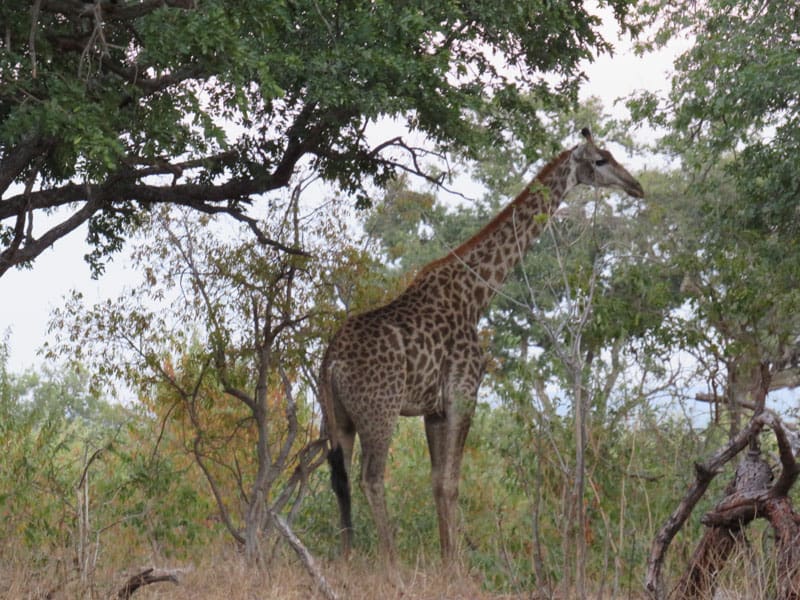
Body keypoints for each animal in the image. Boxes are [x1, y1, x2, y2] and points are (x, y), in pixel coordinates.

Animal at [318, 129, 644, 564]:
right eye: (601, 160)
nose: (636, 186)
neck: (477, 293)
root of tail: (330, 364)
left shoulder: (435, 409)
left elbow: (437, 481)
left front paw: (447, 559)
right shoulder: (463, 393)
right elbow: (451, 482)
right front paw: (455, 566)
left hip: (339, 418)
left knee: (339, 480)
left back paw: (347, 557)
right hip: (379, 412)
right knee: (370, 478)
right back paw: (390, 563)